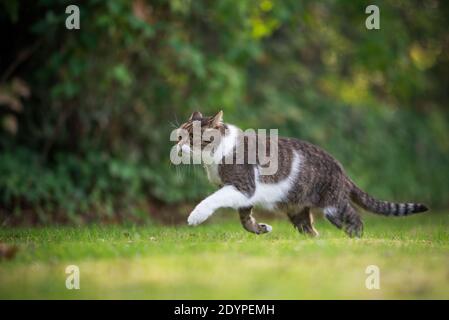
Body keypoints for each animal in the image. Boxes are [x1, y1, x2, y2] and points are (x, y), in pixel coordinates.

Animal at [174, 111, 428, 236]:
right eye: (178, 137)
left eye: (192, 137)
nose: (177, 148)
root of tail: (342, 170)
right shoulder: (244, 194)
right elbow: (245, 220)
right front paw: (262, 229)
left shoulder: (243, 186)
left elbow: (212, 199)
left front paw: (195, 217)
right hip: (297, 209)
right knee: (311, 231)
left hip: (333, 207)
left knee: (356, 220)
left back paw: (355, 244)